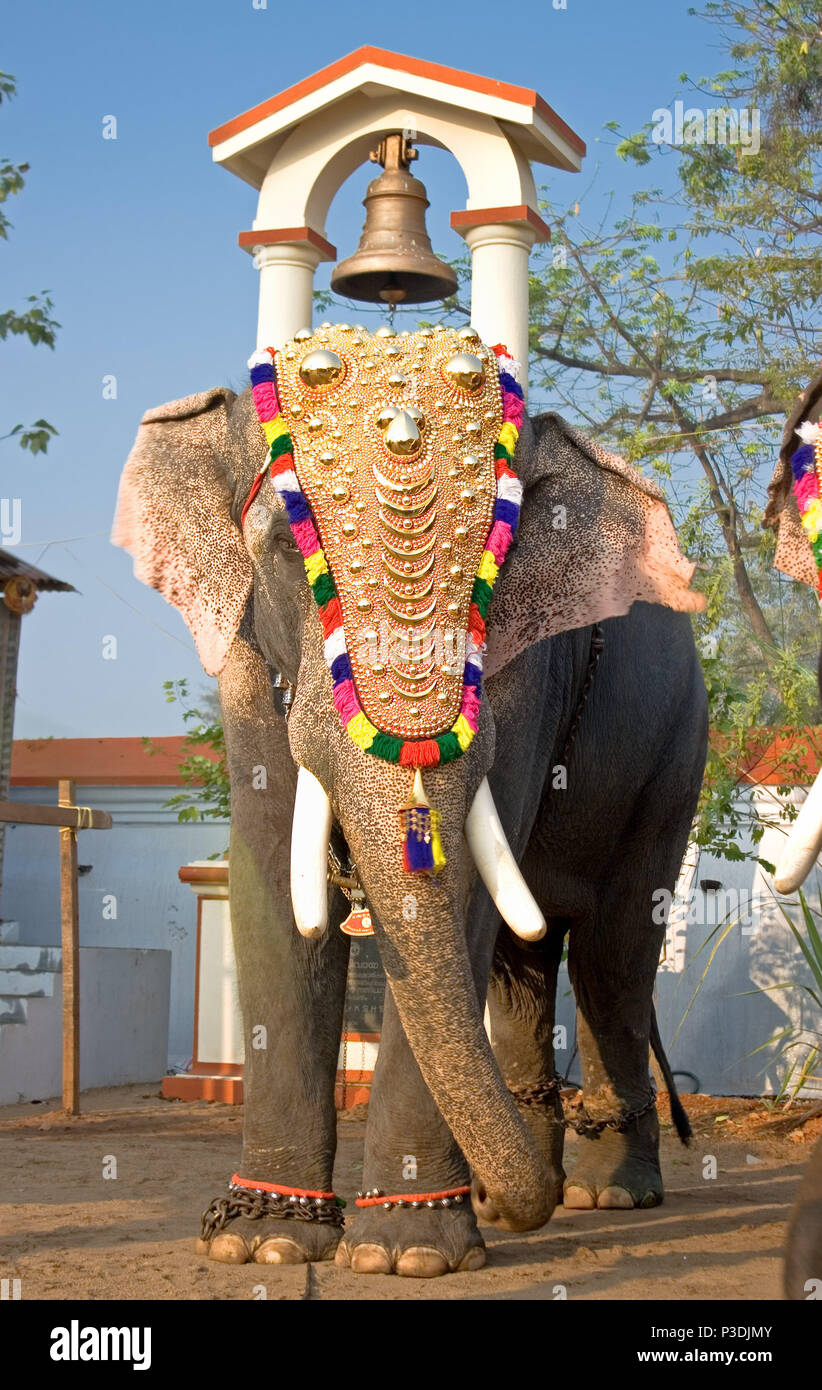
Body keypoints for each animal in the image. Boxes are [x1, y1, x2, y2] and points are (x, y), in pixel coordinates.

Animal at [113, 323, 708, 1278]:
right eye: (285, 548)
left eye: (497, 561)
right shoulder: (244, 663)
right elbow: (270, 883)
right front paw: (262, 1242)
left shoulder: (522, 677)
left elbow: (457, 891)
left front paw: (407, 1255)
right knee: (523, 968)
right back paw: (521, 1197)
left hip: (674, 750)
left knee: (614, 954)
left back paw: (607, 1193)